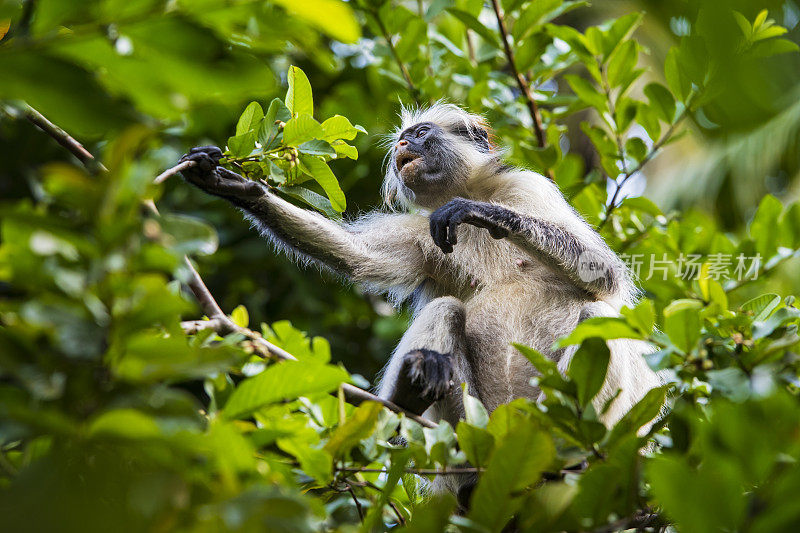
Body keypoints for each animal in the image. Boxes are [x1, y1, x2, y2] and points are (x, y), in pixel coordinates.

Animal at [181, 105, 664, 502]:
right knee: (445, 310)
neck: (478, 188)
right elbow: (355, 256)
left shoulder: (529, 187)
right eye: (404, 137)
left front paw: (481, 214)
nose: (402, 144)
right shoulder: (423, 231)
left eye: (420, 133)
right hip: (476, 430)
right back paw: (416, 405)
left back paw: (572, 457)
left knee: (597, 316)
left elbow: (604, 273)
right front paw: (236, 186)